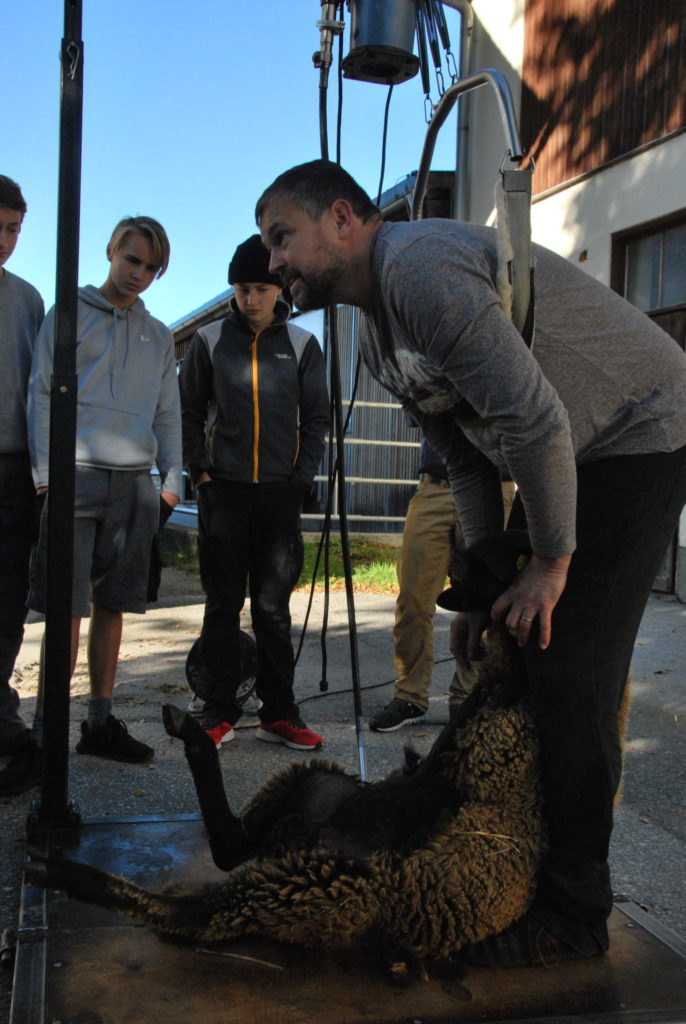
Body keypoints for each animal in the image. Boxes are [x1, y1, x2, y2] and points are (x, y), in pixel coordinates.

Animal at [24, 536, 544, 974]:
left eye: (490, 558)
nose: (457, 545)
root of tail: (301, 842)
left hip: (318, 881)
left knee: (196, 911)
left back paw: (56, 870)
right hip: (311, 784)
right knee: (230, 845)